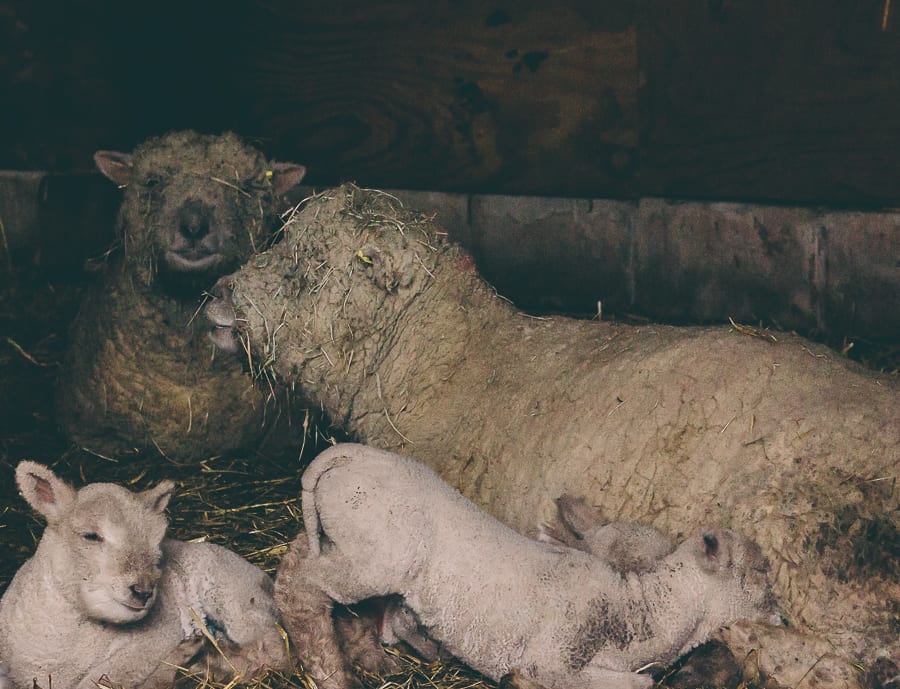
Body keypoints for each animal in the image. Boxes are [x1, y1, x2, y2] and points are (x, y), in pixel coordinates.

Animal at [0, 462, 286, 688]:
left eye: (156, 543)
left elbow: (103, 677)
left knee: (273, 649)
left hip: (234, 597)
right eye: (90, 535)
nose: (144, 591)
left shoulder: (158, 634)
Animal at [274, 440, 780, 688]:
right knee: (296, 588)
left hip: (347, 542)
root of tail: (347, 454)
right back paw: (331, 674)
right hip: (375, 556)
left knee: (301, 558)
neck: (636, 613)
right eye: (761, 570)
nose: (781, 615)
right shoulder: (551, 658)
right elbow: (638, 685)